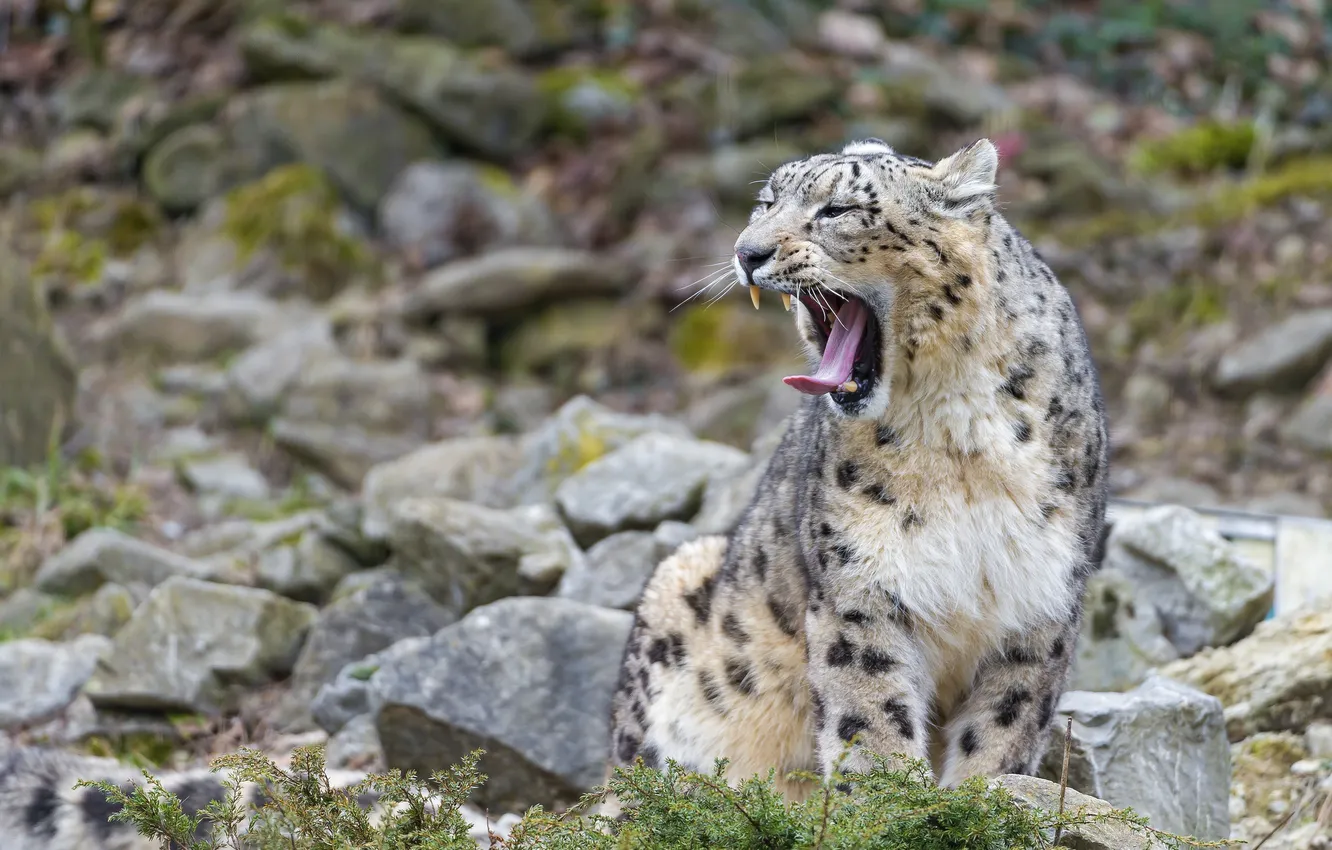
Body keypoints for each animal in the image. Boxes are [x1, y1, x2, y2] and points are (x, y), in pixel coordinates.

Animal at [606, 137, 1109, 804]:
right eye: (766, 201)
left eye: (838, 209)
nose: (746, 251)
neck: (958, 439)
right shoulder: (860, 585)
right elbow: (870, 714)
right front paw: (891, 804)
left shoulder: (1038, 601)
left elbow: (1003, 729)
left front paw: (984, 798)